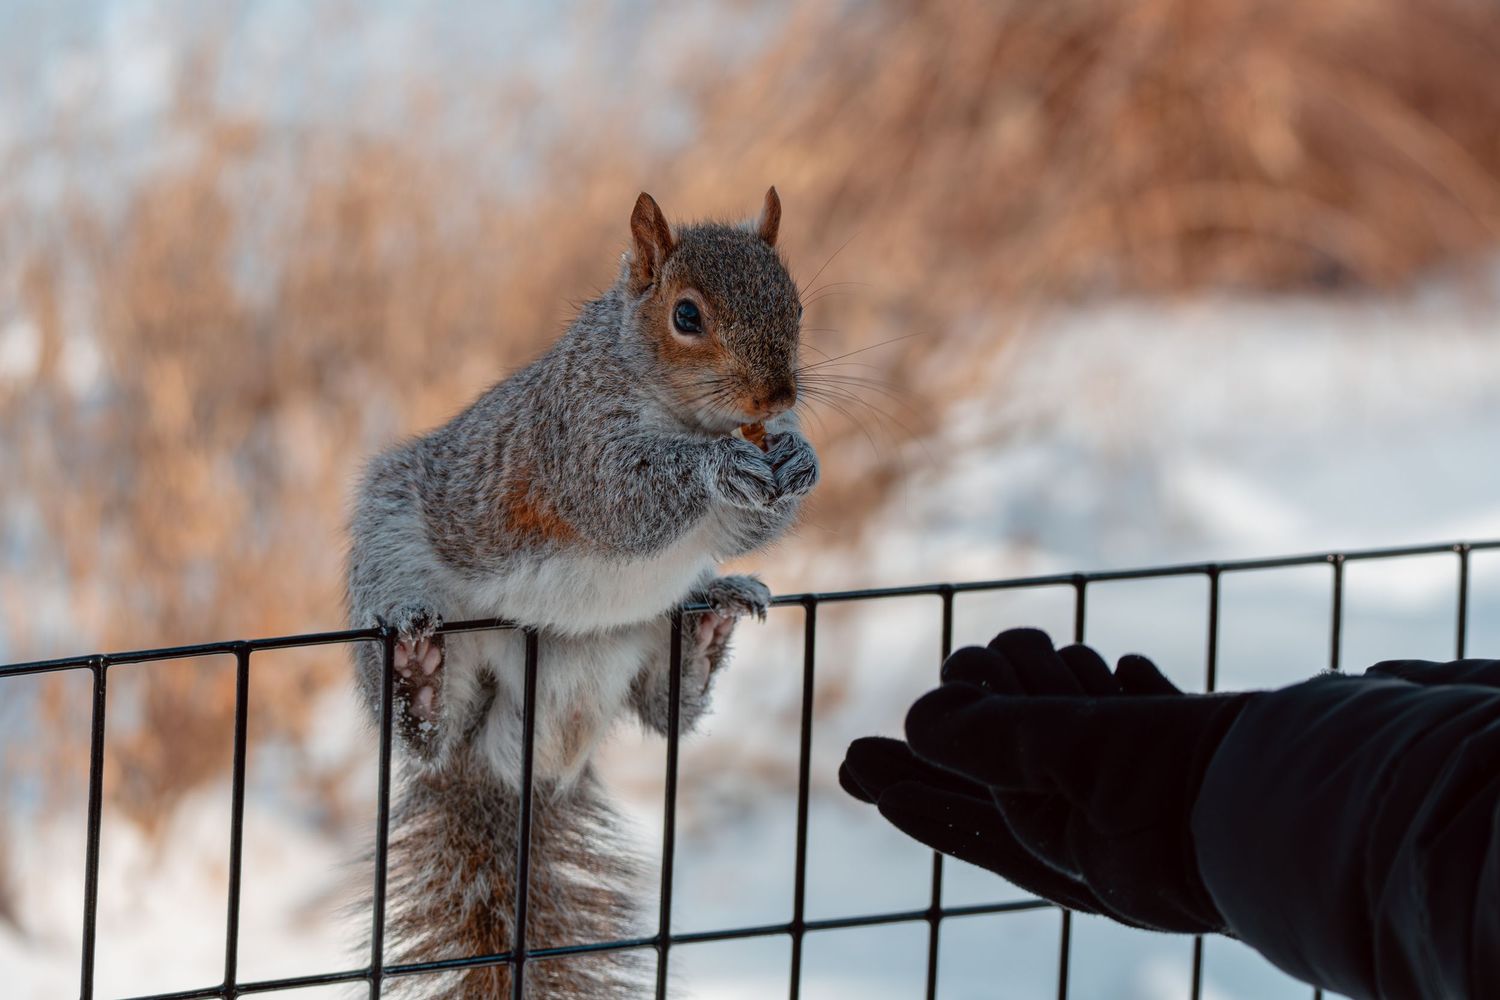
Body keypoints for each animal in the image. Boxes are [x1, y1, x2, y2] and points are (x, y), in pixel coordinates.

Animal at [345, 187, 818, 998]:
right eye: (686, 315)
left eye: (795, 305)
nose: (778, 394)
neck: (689, 415)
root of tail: (517, 767)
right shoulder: (575, 442)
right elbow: (626, 499)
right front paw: (719, 465)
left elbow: (743, 529)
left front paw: (799, 454)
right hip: (413, 575)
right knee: (429, 732)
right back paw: (417, 674)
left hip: (641, 638)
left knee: (666, 708)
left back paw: (711, 626)